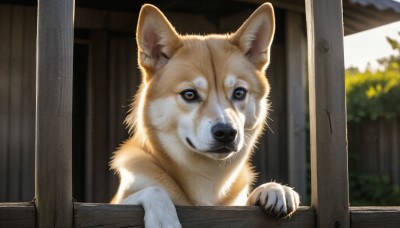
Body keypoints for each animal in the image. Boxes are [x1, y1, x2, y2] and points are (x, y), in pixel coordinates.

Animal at [111, 2, 298, 227]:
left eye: (239, 93)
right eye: (189, 94)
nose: (226, 132)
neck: (208, 181)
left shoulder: (235, 206)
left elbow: (245, 201)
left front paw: (275, 188)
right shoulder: (115, 203)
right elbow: (153, 190)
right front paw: (163, 216)